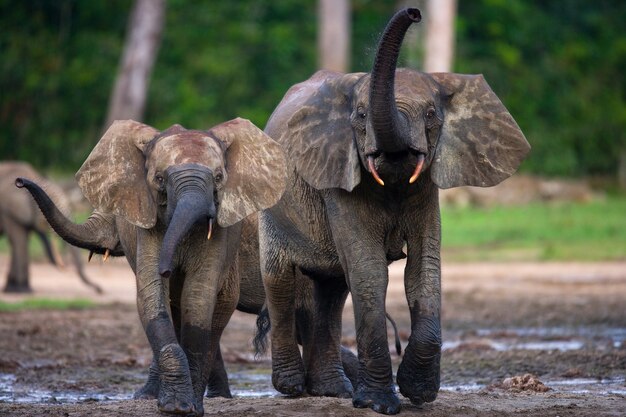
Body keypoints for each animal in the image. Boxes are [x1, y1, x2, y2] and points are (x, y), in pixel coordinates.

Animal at [0, 159, 102, 292]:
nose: (100, 290)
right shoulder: (9, 211)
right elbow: (18, 241)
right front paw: (20, 290)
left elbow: (21, 240)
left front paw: (18, 288)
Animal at [16, 118, 286, 416]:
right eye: (159, 179)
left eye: (218, 178)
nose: (19, 181)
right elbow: (154, 297)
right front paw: (170, 404)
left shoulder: (223, 236)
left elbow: (198, 297)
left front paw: (187, 407)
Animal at [258, 8, 528, 414]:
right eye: (360, 114)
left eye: (431, 114)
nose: (414, 13)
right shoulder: (340, 178)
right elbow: (370, 274)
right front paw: (380, 404)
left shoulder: (426, 189)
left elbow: (424, 271)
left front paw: (418, 392)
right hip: (271, 207)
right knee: (280, 281)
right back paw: (291, 387)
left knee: (332, 291)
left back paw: (332, 390)